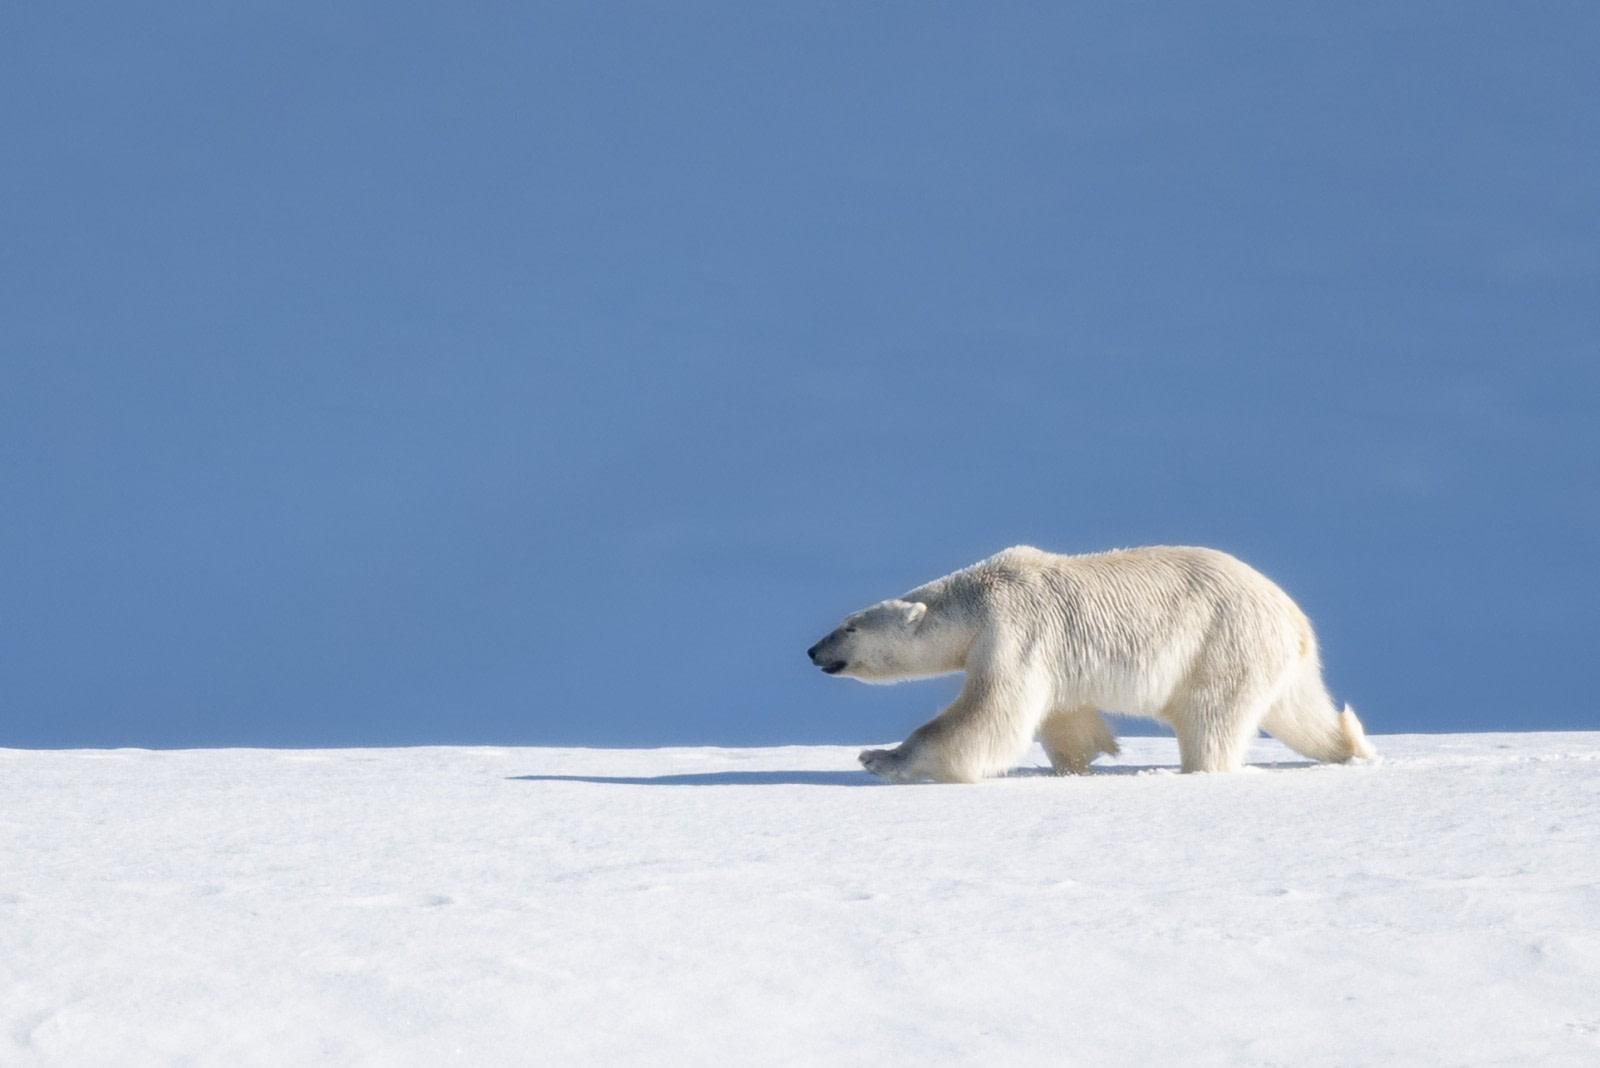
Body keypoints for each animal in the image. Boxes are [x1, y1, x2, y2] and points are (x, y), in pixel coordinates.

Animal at [812, 546, 1376, 780]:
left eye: (849, 626)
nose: (814, 651)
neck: (975, 597)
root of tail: (1294, 618)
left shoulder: (1014, 628)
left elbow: (989, 712)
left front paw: (882, 758)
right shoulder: (1051, 655)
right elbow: (1064, 715)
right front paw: (1078, 764)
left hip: (1221, 643)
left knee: (1211, 716)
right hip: (1276, 659)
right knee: (1301, 712)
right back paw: (1352, 748)